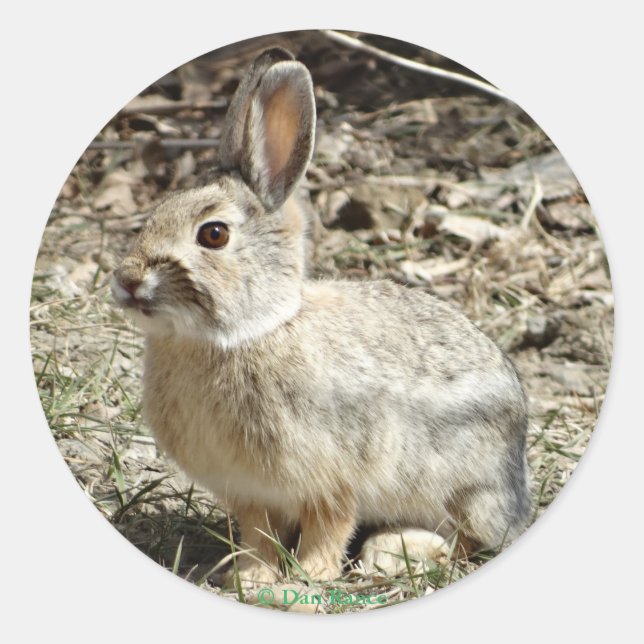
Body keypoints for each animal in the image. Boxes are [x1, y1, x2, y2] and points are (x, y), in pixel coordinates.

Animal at [111, 47, 531, 586]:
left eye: (213, 235)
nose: (126, 279)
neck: (247, 333)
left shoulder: (335, 480)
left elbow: (329, 527)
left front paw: (309, 577)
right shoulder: (251, 492)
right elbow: (259, 535)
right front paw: (249, 577)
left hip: (466, 486)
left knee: (470, 541)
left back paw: (400, 551)